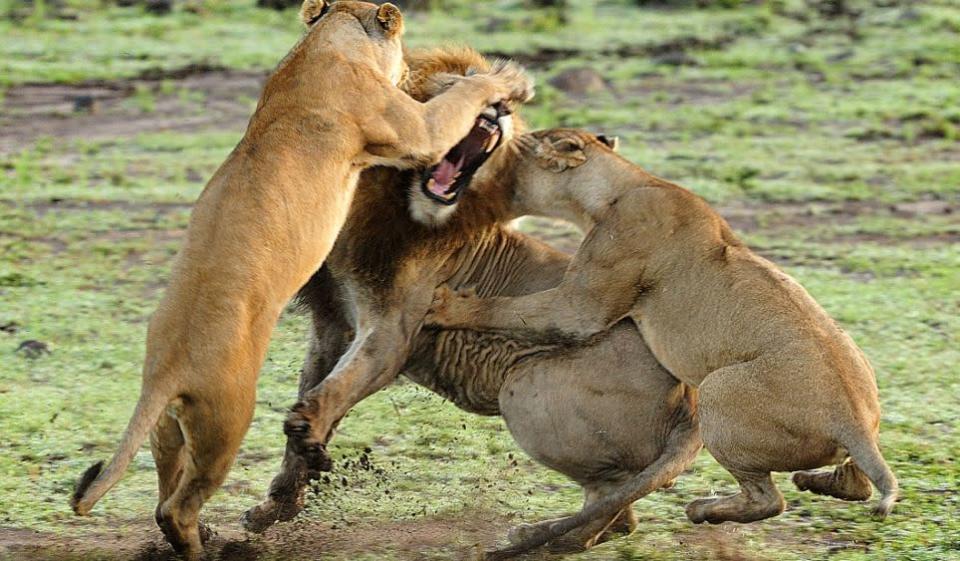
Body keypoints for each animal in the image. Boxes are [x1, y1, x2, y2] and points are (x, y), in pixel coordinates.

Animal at [67, 3, 532, 556]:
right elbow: (458, 101)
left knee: (166, 485)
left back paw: (203, 533)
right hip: (226, 421)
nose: (500, 113)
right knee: (175, 507)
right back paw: (203, 545)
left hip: (170, 428)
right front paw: (505, 80)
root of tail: (162, 373)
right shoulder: (417, 129)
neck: (322, 45)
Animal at [244, 48, 700, 556]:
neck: (394, 201)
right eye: (462, 80)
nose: (497, 108)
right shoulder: (332, 322)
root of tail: (693, 402)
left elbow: (339, 387)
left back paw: (538, 540)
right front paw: (276, 506)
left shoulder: (393, 332)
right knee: (620, 513)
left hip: (524, 388)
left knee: (609, 507)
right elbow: (313, 393)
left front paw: (308, 430)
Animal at [428, 129, 900, 540]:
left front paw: (447, 305)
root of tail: (853, 423)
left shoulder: (585, 303)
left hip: (718, 392)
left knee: (768, 500)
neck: (625, 185)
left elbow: (513, 309)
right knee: (856, 483)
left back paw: (704, 510)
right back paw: (818, 482)